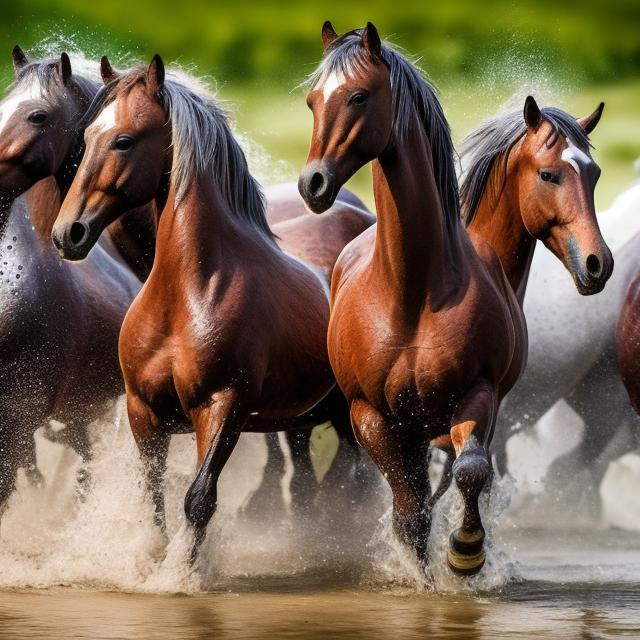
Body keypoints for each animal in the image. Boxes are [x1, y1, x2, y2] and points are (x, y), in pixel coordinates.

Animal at [50, 56, 364, 560]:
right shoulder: (142, 413)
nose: (68, 234)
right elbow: (152, 497)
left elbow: (199, 500)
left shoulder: (222, 409)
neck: (188, 296)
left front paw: (183, 569)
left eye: (124, 140)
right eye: (88, 136)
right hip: (307, 420)